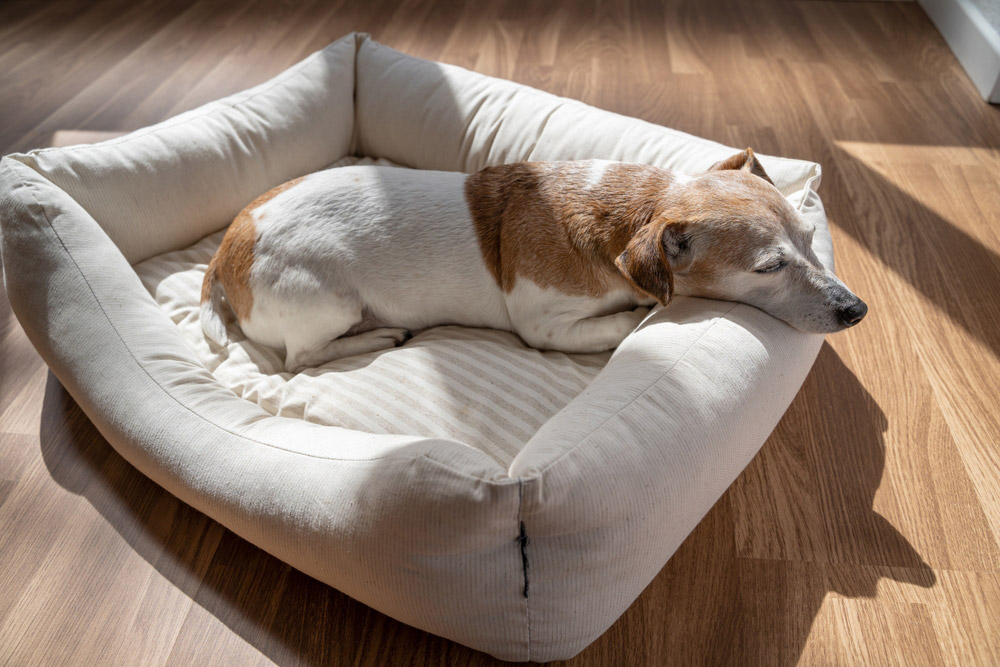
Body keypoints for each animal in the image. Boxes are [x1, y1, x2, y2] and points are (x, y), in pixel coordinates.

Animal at [201, 148, 868, 374]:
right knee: (300, 359)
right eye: (768, 267)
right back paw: (379, 334)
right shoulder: (544, 325)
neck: (629, 214)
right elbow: (624, 321)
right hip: (329, 301)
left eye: (811, 238)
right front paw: (640, 316)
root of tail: (226, 250)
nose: (857, 309)